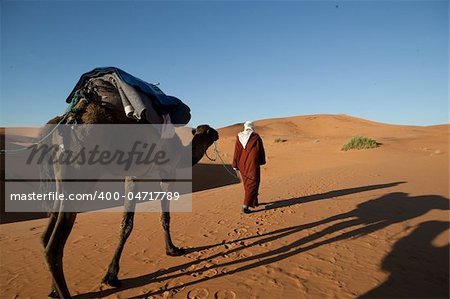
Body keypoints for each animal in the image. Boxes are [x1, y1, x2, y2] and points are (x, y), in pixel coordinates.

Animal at [39, 93, 219, 298]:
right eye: (209, 132)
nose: (218, 133)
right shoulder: (166, 171)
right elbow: (160, 217)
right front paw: (171, 249)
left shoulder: (133, 175)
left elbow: (129, 222)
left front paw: (112, 274)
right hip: (80, 176)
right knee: (53, 247)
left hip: (58, 184)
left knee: (45, 235)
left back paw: (53, 290)